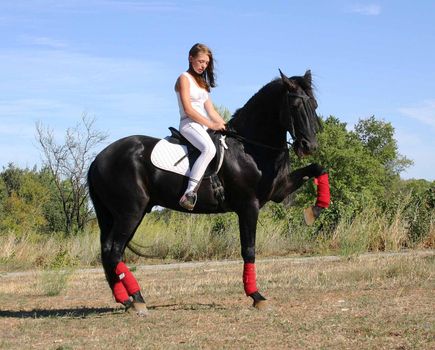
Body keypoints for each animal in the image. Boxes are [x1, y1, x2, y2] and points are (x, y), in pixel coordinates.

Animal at [88, 69, 326, 316]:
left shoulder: (279, 191)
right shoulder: (248, 206)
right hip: (130, 213)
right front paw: (256, 296)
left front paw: (315, 210)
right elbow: (249, 250)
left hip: (125, 214)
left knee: (109, 251)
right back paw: (137, 299)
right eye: (295, 106)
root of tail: (99, 159)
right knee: (115, 251)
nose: (309, 146)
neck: (249, 148)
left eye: (314, 105)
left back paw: (125, 299)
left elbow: (319, 168)